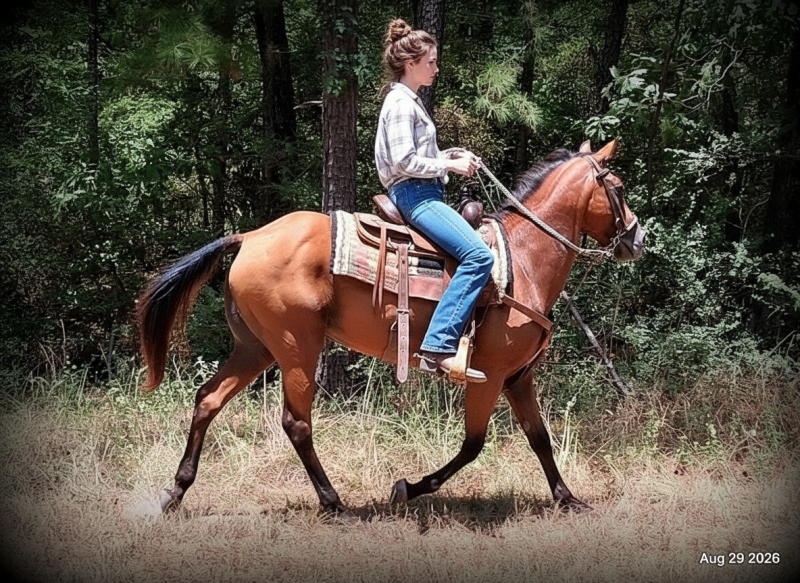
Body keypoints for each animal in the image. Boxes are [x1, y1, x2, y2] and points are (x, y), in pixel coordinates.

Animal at [137, 139, 645, 517]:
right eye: (618, 187)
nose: (638, 238)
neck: (522, 259)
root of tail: (249, 236)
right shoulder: (490, 375)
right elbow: (473, 445)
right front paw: (409, 488)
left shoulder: (519, 377)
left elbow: (539, 438)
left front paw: (568, 498)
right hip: (297, 347)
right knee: (296, 423)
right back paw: (334, 503)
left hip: (255, 347)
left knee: (208, 399)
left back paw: (173, 492)